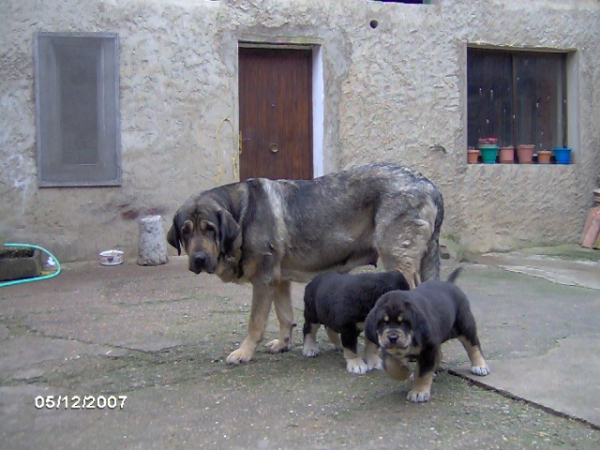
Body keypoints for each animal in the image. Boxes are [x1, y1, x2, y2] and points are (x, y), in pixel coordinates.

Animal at [166, 163, 442, 364]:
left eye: (210, 229)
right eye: (186, 231)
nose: (199, 259)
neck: (240, 215)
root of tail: (430, 186)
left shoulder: (263, 281)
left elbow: (256, 322)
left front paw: (244, 353)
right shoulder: (278, 280)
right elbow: (285, 315)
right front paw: (283, 344)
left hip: (398, 259)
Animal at [366, 268, 488, 404]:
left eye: (404, 322)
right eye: (383, 322)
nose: (393, 337)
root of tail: (449, 283)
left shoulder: (428, 348)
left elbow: (423, 373)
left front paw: (419, 392)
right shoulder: (388, 349)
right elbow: (390, 366)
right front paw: (404, 372)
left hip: (464, 326)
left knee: (473, 346)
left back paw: (480, 366)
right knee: (439, 354)